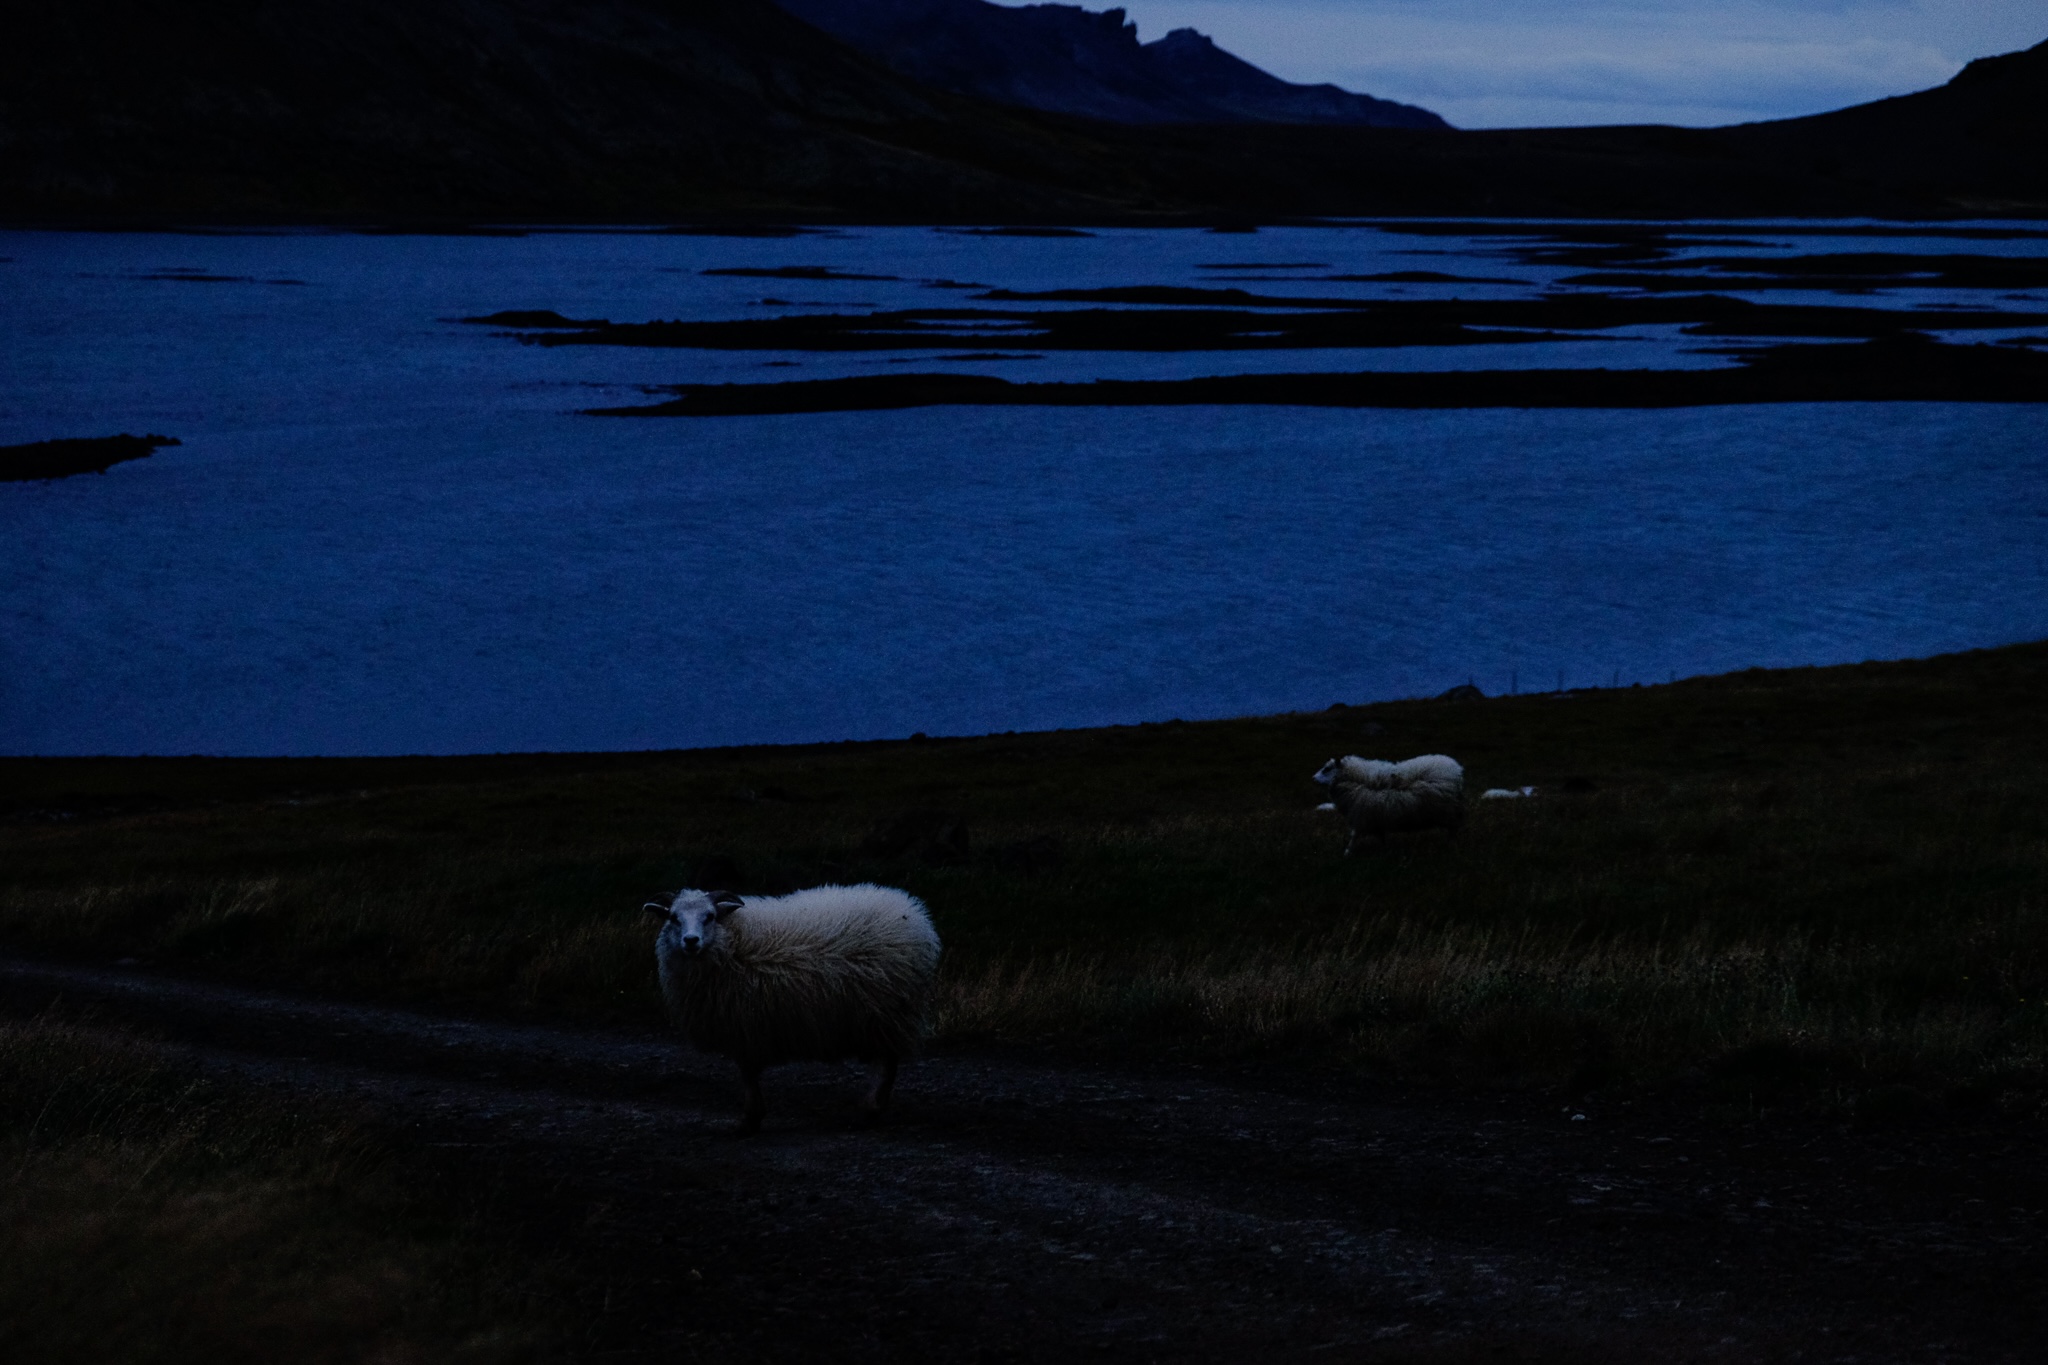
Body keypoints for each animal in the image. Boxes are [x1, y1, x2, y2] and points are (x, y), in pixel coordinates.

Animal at [645, 882, 941, 1134]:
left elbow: (748, 1073)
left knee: (887, 1063)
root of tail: (915, 914)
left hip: (890, 1011)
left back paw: (871, 1108)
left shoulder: (744, 1028)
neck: (731, 942)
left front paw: (751, 1119)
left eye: (710, 916)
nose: (690, 940)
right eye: (673, 918)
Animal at [1312, 754, 1465, 855]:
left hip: (1449, 810)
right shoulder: (1375, 816)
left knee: (1453, 829)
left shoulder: (1361, 814)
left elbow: (1354, 835)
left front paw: (1347, 853)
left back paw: (1452, 845)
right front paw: (1384, 849)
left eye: (1326, 769)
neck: (1355, 779)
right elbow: (1380, 836)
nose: (1313, 778)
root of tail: (1457, 770)